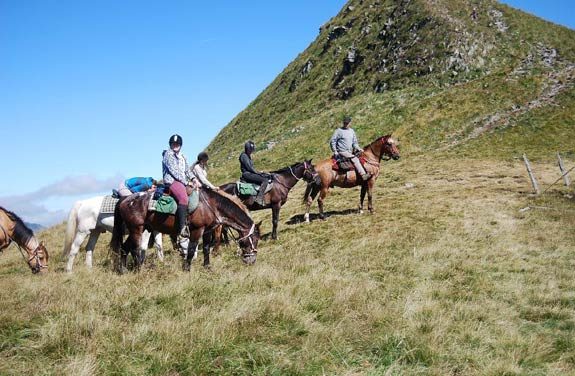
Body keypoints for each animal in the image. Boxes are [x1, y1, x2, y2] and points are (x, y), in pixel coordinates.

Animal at [112, 188, 260, 274]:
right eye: (254, 239)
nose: (252, 260)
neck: (210, 205)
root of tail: (125, 199)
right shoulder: (197, 230)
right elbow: (191, 249)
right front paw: (187, 269)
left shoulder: (207, 231)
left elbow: (206, 248)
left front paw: (207, 267)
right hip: (137, 229)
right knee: (135, 249)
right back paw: (140, 270)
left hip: (140, 229)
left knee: (125, 247)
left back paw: (123, 269)